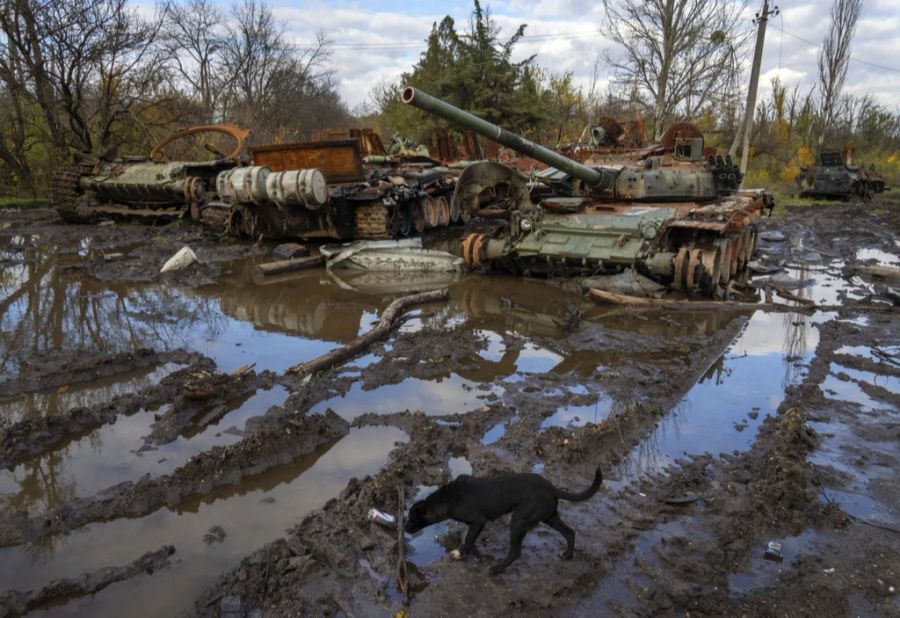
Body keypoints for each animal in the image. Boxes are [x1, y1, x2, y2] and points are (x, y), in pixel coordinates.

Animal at [404, 464, 600, 576]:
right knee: (570, 532)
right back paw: (568, 555)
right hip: (549, 516)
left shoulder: (478, 521)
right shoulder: (471, 525)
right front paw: (467, 553)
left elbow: (468, 541)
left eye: (411, 518)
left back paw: (496, 569)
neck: (446, 498)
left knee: (515, 553)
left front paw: (466, 555)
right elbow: (466, 539)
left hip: (519, 520)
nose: (405, 529)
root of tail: (551, 487)